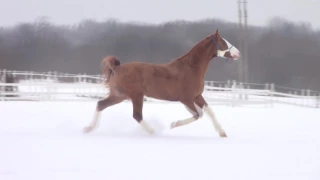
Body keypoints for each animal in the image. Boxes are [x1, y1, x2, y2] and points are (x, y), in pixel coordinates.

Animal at [82, 28, 240, 137]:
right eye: (224, 42)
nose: (238, 53)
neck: (191, 69)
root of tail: (117, 67)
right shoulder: (186, 99)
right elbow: (198, 115)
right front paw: (173, 124)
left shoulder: (197, 96)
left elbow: (209, 112)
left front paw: (222, 133)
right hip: (136, 96)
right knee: (137, 116)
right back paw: (154, 133)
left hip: (120, 95)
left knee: (100, 105)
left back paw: (88, 128)